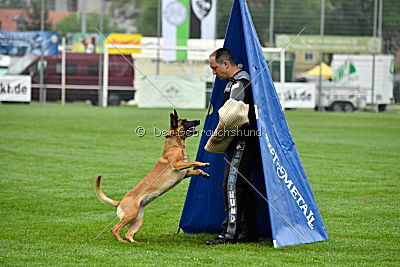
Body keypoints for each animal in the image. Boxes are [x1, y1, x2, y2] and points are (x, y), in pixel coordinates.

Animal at [95, 109, 211, 243]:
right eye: (185, 121)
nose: (198, 120)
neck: (174, 145)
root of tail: (120, 202)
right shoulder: (176, 165)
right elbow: (194, 162)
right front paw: (204, 163)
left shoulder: (184, 173)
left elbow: (196, 170)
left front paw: (204, 173)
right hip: (130, 214)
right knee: (114, 229)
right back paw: (122, 241)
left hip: (138, 219)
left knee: (129, 234)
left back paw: (135, 243)